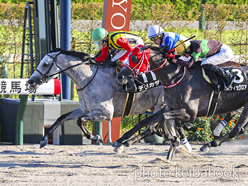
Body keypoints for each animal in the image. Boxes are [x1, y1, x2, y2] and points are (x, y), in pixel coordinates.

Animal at [27, 48, 184, 150]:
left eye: (45, 64)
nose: (30, 81)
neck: (88, 78)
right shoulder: (84, 108)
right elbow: (62, 117)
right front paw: (44, 139)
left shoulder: (106, 112)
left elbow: (80, 120)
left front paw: (96, 137)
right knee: (163, 127)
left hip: (160, 104)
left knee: (151, 127)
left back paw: (123, 142)